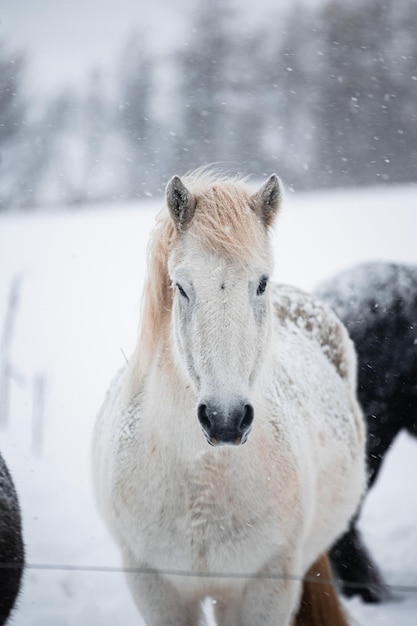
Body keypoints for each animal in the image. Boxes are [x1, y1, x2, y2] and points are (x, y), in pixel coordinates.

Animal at [93, 171, 364, 624]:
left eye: (261, 283)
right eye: (181, 287)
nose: (225, 418)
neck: (202, 479)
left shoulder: (268, 587)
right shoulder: (154, 587)